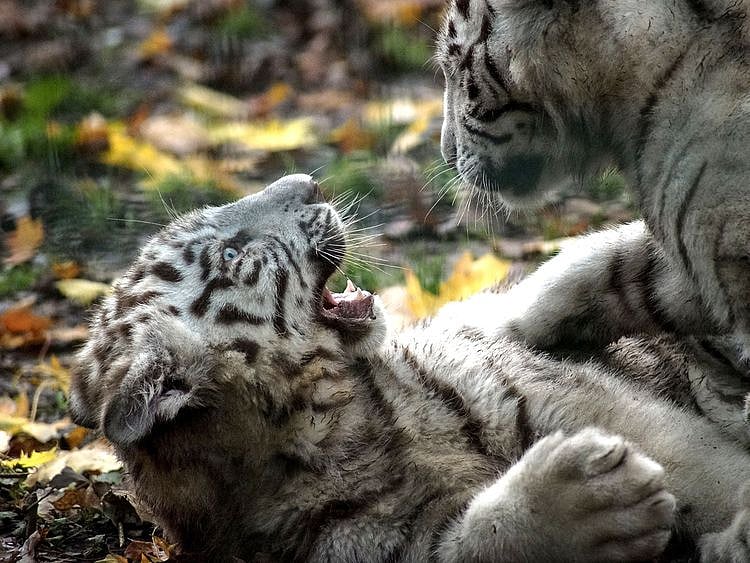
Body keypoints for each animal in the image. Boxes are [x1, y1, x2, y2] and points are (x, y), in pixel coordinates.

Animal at [70, 173, 750, 562]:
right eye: (233, 254)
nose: (309, 181)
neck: (338, 422)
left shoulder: (561, 392)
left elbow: (707, 468)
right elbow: (473, 545)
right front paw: (590, 499)